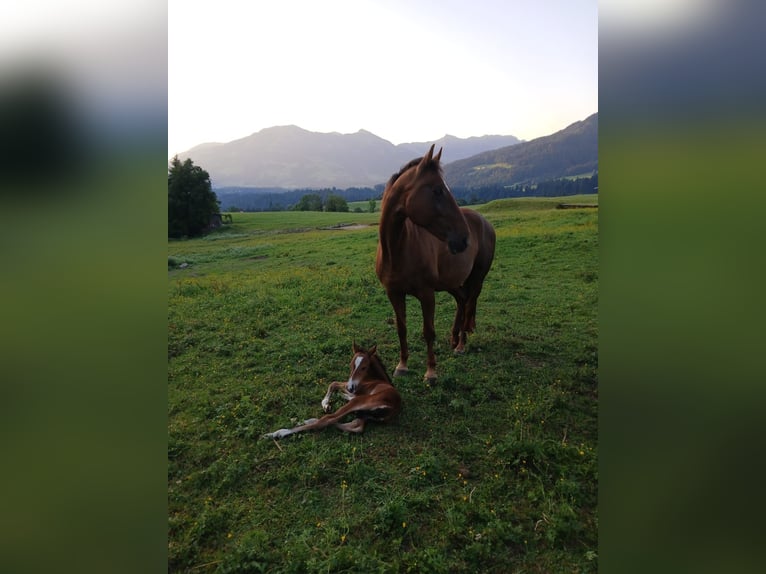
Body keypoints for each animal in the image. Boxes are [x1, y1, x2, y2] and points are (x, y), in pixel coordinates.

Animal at [263, 343, 401, 439]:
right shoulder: (353, 389)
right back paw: (306, 420)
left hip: (360, 402)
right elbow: (335, 385)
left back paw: (278, 433)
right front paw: (331, 401)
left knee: (327, 420)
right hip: (364, 414)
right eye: (351, 364)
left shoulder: (357, 391)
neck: (375, 379)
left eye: (364, 367)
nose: (351, 387)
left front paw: (325, 403)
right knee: (354, 426)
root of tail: (392, 407)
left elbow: (333, 383)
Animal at [375, 144, 496, 382]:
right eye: (438, 190)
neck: (397, 250)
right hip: (452, 283)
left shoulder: (427, 294)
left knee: (469, 304)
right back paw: (455, 338)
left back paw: (461, 345)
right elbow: (401, 329)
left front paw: (431, 371)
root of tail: (484, 222)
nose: (464, 239)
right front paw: (402, 365)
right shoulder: (394, 293)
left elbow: (428, 331)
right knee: (462, 301)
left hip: (476, 278)